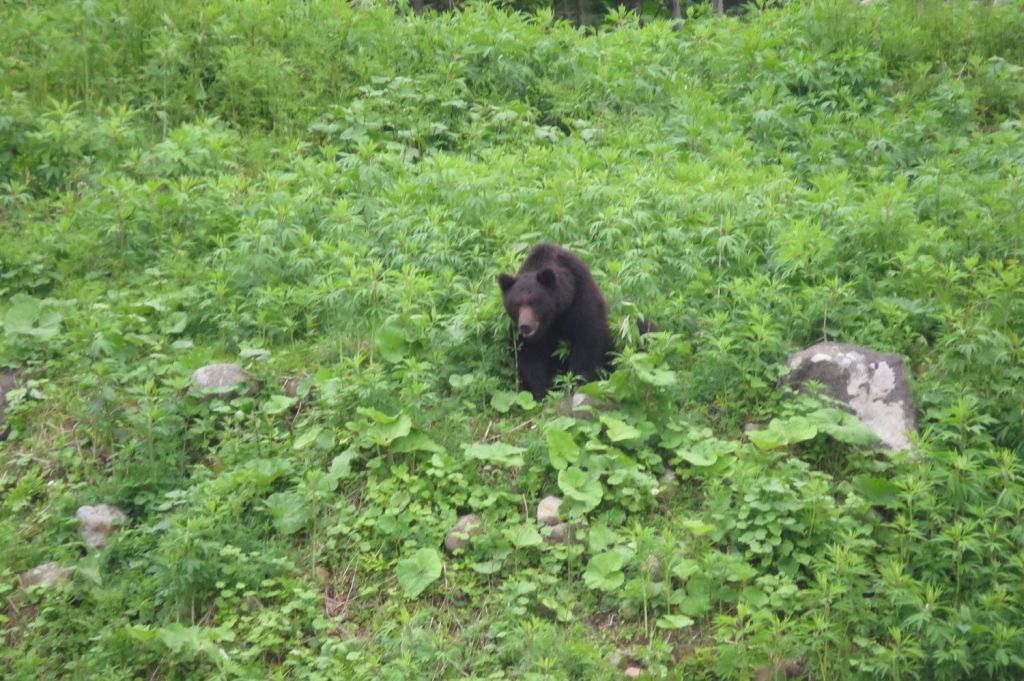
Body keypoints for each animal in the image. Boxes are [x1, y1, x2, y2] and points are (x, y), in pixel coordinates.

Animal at [497, 242, 610, 399]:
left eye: (534, 302)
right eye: (516, 304)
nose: (525, 326)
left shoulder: (580, 298)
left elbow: (587, 338)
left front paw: (578, 382)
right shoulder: (530, 337)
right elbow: (531, 358)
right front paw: (543, 392)